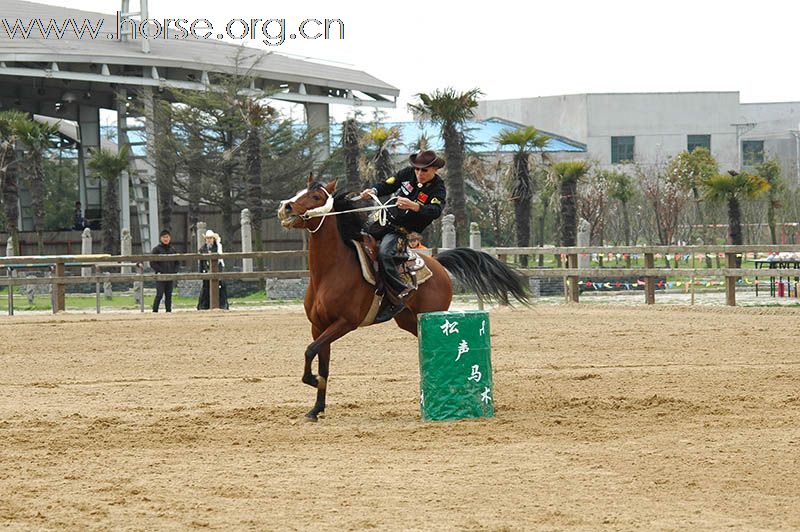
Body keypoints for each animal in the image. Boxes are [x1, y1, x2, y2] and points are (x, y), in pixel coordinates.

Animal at [278, 178, 528, 420]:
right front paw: (316, 409)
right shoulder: (319, 325)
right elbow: (322, 363)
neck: (331, 271)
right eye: (300, 192)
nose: (285, 207)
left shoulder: (345, 323)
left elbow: (310, 351)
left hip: (429, 313)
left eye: (316, 197)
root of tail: (438, 263)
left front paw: (311, 381)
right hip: (409, 320)